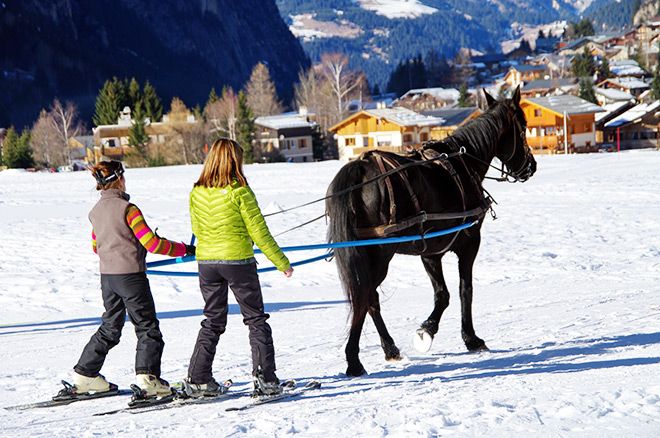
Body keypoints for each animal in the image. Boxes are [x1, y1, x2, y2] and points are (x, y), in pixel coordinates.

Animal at [324, 86, 536, 376]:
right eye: (523, 128)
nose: (531, 166)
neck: (463, 163)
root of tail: (358, 170)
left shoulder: (430, 252)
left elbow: (442, 294)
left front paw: (429, 330)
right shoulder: (469, 243)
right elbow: (464, 290)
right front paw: (467, 337)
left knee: (369, 299)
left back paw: (389, 348)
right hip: (379, 255)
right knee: (364, 296)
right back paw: (354, 360)